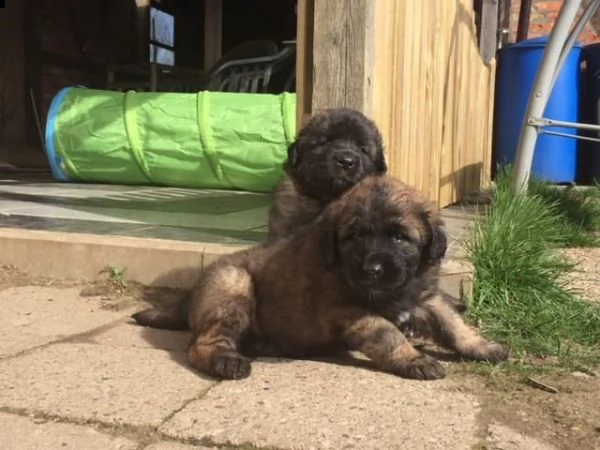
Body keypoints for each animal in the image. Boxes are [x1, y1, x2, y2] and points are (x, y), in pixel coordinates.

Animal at [149, 174, 506, 382]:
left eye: (399, 237)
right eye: (354, 237)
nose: (372, 270)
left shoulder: (427, 297)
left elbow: (454, 324)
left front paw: (483, 346)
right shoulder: (352, 311)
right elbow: (389, 335)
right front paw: (413, 358)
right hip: (233, 283)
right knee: (202, 344)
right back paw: (226, 360)